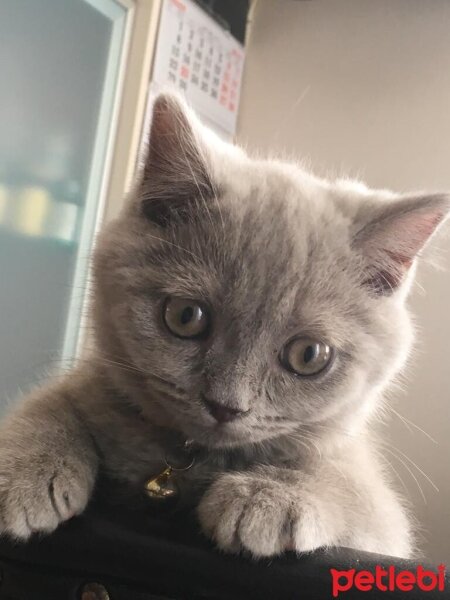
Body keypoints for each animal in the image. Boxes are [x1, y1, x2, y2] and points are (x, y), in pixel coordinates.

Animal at [0, 94, 450, 556]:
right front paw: (26, 469)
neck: (185, 462)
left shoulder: (376, 512)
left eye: (309, 355)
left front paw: (268, 498)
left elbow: (348, 485)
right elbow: (50, 403)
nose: (226, 406)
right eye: (186, 316)